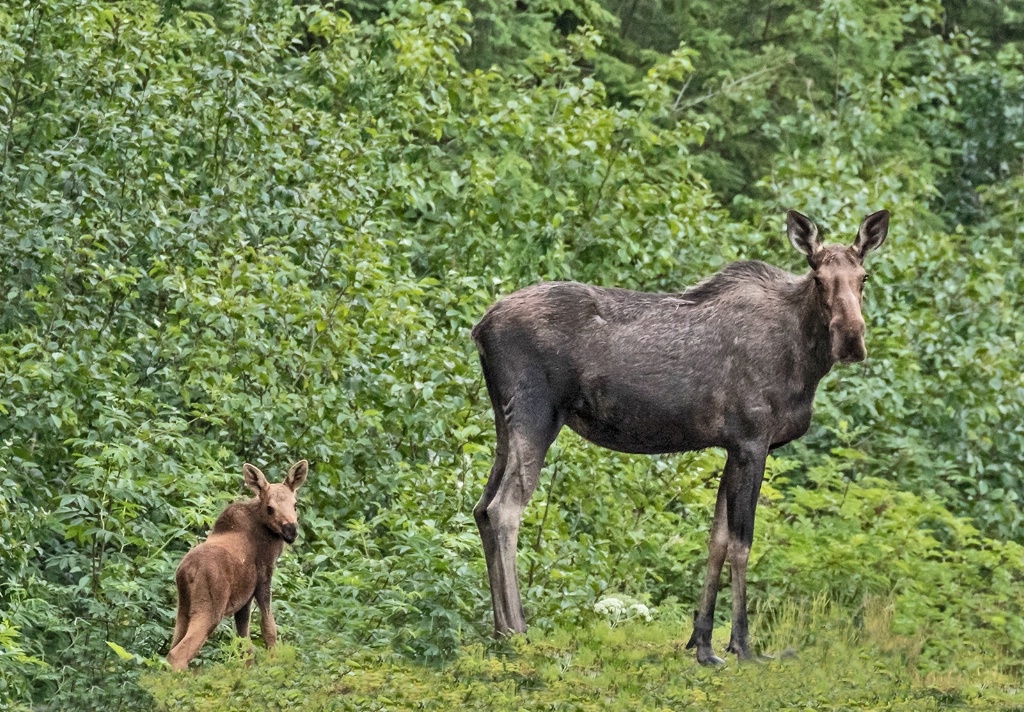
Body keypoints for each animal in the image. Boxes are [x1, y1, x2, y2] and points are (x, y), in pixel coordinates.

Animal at [163, 458, 305, 672]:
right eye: (270, 508)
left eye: (295, 505)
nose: (291, 530)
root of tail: (186, 572)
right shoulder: (263, 578)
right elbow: (268, 627)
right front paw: (274, 664)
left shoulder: (244, 598)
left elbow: (244, 642)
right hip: (210, 608)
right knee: (177, 655)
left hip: (182, 608)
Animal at [471, 208, 888, 663]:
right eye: (818, 277)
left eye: (864, 276)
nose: (851, 338)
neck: (806, 363)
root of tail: (480, 327)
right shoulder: (753, 440)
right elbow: (742, 542)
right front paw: (743, 645)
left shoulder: (731, 445)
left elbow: (716, 540)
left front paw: (702, 644)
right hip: (537, 414)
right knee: (504, 508)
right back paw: (518, 632)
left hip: (504, 421)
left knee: (481, 506)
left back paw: (498, 631)